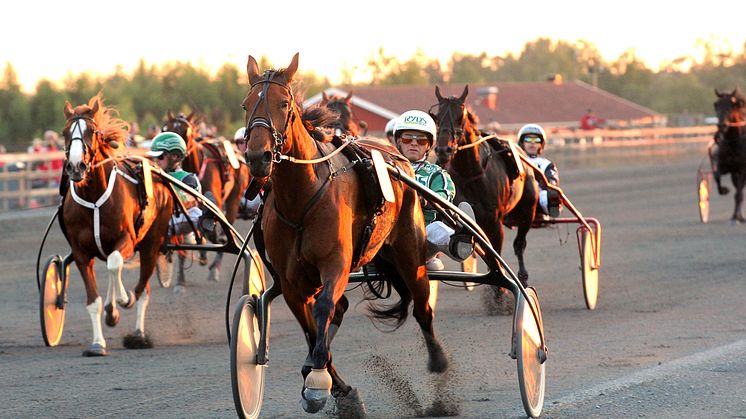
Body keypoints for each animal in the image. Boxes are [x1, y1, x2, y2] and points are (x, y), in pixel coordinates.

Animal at [60, 94, 171, 354]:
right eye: (64, 132)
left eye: (91, 131)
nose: (76, 166)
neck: (94, 197)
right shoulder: (81, 253)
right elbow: (94, 300)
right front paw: (97, 343)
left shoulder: (127, 240)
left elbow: (114, 263)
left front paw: (123, 299)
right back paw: (112, 314)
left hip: (151, 244)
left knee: (142, 289)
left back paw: (138, 334)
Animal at [243, 54, 448, 416]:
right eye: (245, 105)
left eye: (284, 104)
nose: (258, 157)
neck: (301, 199)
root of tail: (399, 159)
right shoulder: (291, 283)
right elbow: (312, 328)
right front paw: (328, 383)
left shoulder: (335, 263)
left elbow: (324, 309)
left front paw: (317, 382)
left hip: (410, 252)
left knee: (423, 306)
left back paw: (438, 365)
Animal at [430, 83, 536, 310]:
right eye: (437, 116)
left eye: (460, 115)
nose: (443, 150)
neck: (471, 174)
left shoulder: (494, 221)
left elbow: (496, 251)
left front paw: (499, 295)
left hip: (527, 212)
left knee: (519, 244)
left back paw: (522, 278)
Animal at [708, 88, 744, 223]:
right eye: (716, 104)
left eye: (731, 105)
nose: (721, 125)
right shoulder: (725, 167)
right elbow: (716, 176)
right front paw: (724, 190)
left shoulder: (742, 169)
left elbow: (738, 194)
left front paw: (735, 218)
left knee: (739, 193)